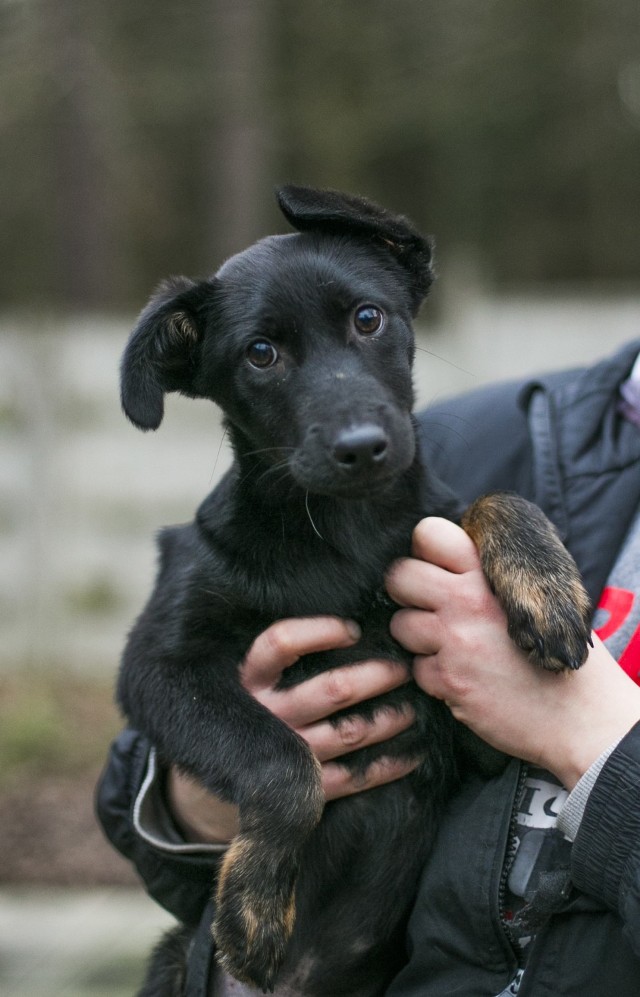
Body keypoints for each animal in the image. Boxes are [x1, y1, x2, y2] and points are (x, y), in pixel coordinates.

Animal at [119, 187, 592, 996]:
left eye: (368, 318)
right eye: (261, 354)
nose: (362, 446)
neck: (343, 536)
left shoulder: (473, 743)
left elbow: (484, 500)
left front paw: (544, 583)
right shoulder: (158, 666)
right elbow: (284, 764)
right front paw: (252, 906)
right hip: (173, 959)